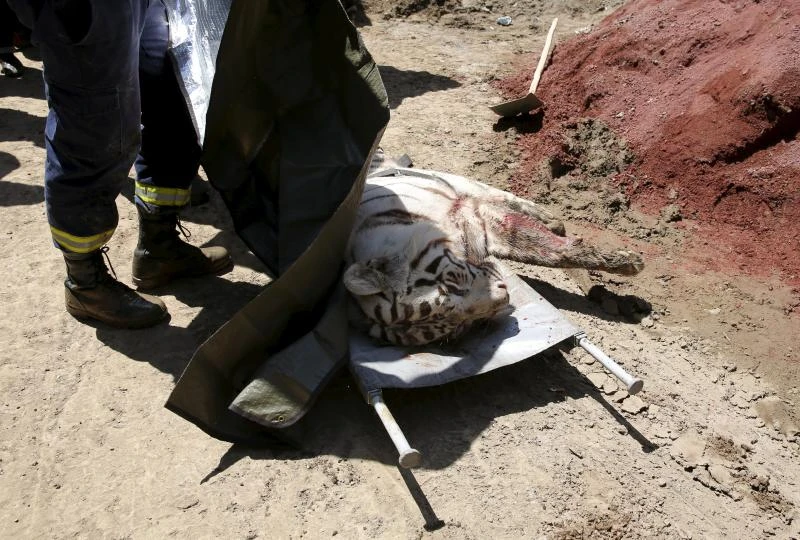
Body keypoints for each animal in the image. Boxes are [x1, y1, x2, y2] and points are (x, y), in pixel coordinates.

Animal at [343, 166, 643, 346]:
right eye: (459, 327)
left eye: (454, 283)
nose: (504, 298)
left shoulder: (473, 215)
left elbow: (551, 250)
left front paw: (627, 262)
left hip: (461, 185)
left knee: (500, 195)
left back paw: (551, 218)